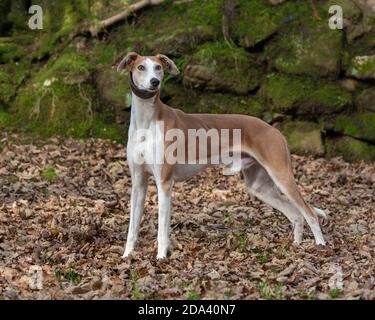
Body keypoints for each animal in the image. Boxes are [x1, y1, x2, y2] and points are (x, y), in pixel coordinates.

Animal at [117, 51, 326, 258]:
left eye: (158, 67)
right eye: (141, 67)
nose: (154, 82)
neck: (146, 122)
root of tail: (275, 131)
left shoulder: (165, 183)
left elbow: (162, 229)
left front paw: (161, 257)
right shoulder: (139, 182)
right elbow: (132, 227)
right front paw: (127, 255)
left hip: (281, 176)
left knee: (310, 213)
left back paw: (321, 245)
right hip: (259, 186)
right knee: (296, 215)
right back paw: (297, 246)